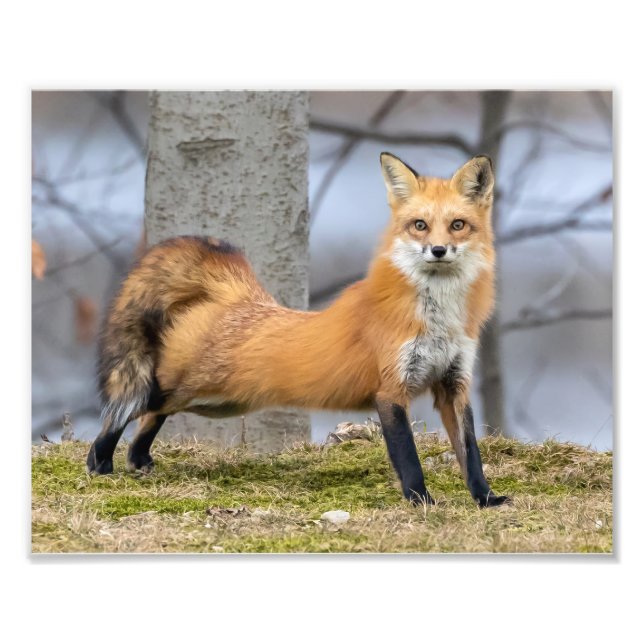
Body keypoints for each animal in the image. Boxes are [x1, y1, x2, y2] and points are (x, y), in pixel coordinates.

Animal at [87, 152, 509, 508]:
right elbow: (409, 459)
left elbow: (470, 453)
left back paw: (136, 457)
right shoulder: (391, 391)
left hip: (217, 402)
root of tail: (238, 297)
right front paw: (421, 501)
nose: (438, 250)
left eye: (458, 225)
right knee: (134, 406)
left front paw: (486, 499)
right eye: (420, 225)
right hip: (189, 388)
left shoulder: (453, 384)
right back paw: (99, 460)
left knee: (152, 415)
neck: (439, 317)